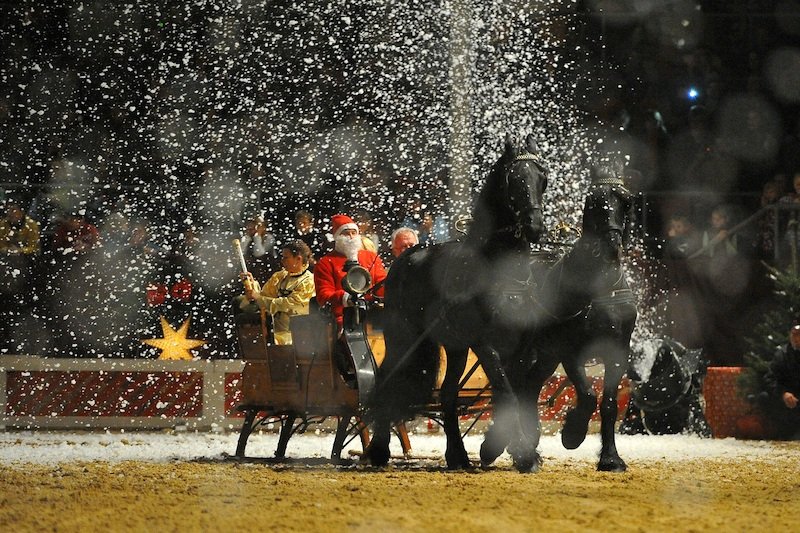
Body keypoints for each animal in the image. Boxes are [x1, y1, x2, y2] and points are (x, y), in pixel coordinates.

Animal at [366, 134, 548, 470]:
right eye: (515, 179)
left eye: (542, 178)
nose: (534, 226)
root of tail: (406, 258)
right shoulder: (485, 344)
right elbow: (506, 393)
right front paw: (520, 454)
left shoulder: (520, 346)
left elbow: (515, 395)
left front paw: (502, 448)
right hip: (403, 337)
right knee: (389, 378)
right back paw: (379, 450)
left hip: (455, 347)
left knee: (448, 394)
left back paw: (457, 456)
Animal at [478, 164, 640, 472]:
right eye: (593, 202)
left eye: (625, 202)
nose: (612, 245)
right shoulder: (570, 351)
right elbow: (588, 396)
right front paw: (572, 434)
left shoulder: (617, 352)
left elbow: (609, 404)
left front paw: (611, 458)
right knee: (511, 388)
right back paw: (500, 446)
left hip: (542, 355)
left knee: (527, 388)